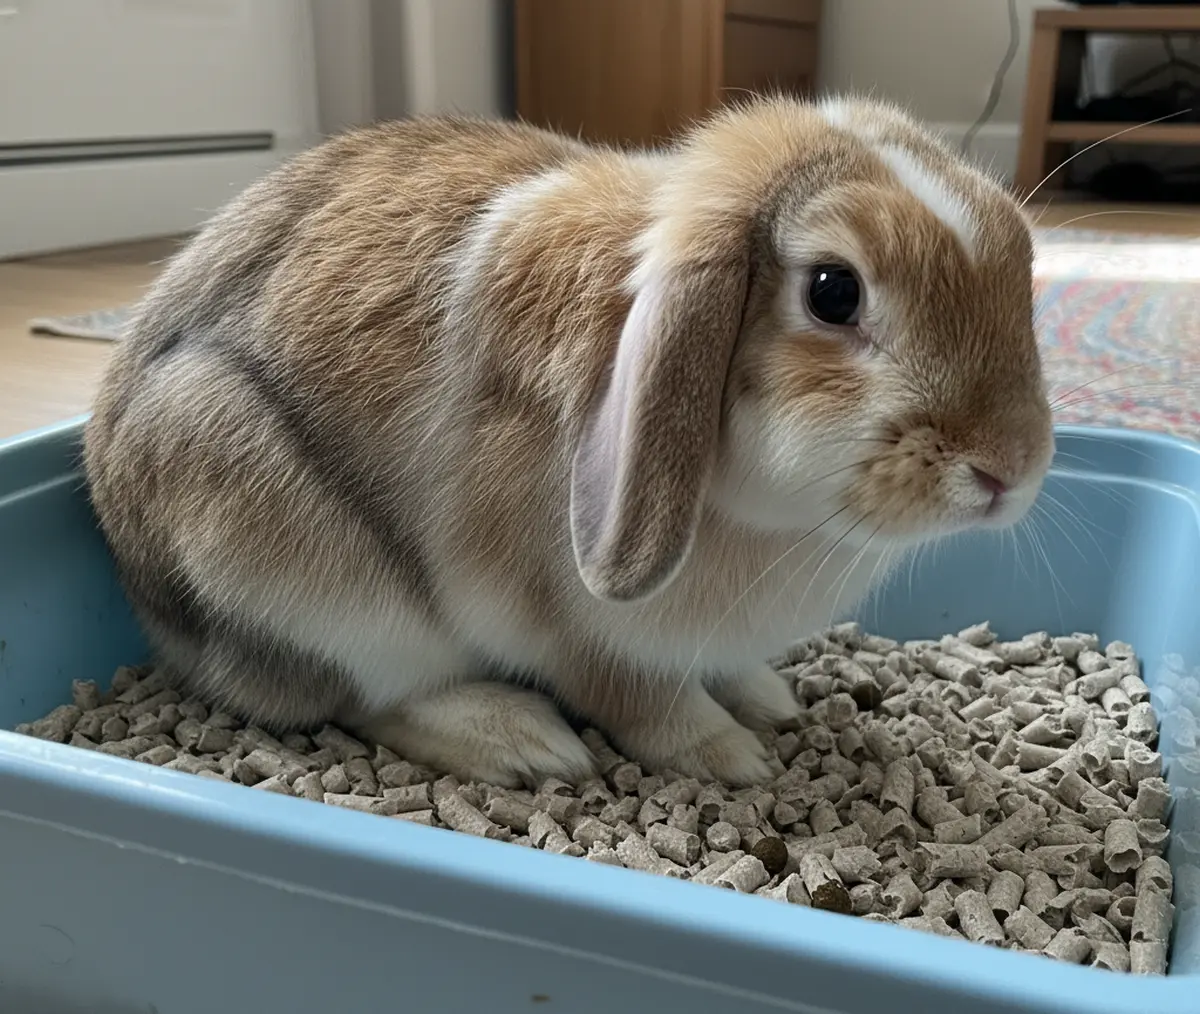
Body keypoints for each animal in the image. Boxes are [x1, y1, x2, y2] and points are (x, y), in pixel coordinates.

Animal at [83, 95, 1054, 790]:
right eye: (833, 291)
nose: (1010, 468)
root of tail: (146, 596)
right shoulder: (579, 632)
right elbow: (641, 700)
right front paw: (730, 753)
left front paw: (767, 700)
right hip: (298, 567)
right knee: (358, 696)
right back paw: (521, 742)